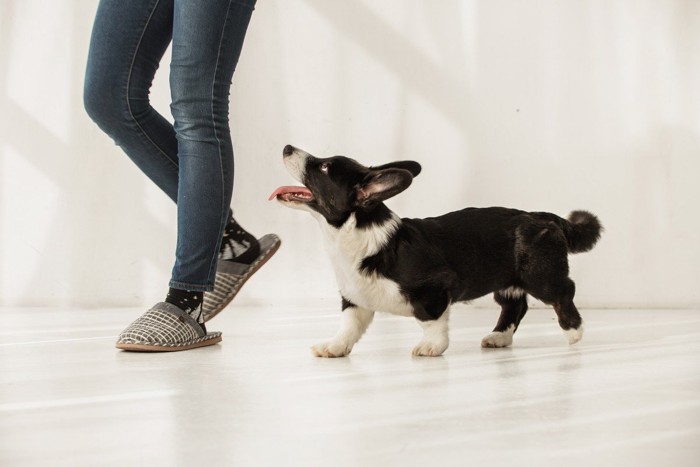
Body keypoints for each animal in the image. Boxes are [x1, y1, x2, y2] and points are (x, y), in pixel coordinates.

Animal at [268, 144, 600, 356]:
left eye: (324, 167)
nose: (286, 147)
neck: (351, 232)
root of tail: (541, 215)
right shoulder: (355, 298)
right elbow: (349, 326)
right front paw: (334, 347)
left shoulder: (434, 288)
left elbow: (430, 320)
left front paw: (431, 347)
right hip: (508, 281)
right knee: (514, 305)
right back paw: (499, 337)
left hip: (540, 275)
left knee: (562, 292)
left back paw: (574, 331)